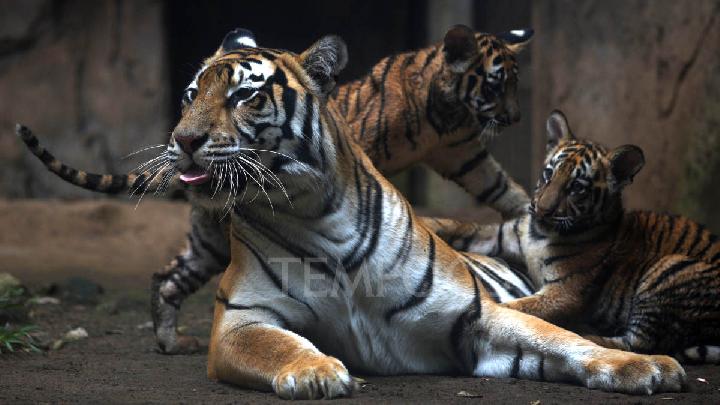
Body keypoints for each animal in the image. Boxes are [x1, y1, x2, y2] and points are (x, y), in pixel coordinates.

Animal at [17, 25, 534, 355]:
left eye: (244, 95)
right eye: (191, 95)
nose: (183, 140)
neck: (447, 113)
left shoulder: (467, 155)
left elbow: (505, 190)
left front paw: (534, 213)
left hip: (205, 243)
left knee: (166, 277)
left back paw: (170, 343)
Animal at [428, 110, 720, 363]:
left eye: (577, 187)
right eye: (548, 174)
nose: (542, 210)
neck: (539, 235)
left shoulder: (564, 292)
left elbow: (519, 308)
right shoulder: (502, 236)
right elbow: (453, 225)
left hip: (669, 268)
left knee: (638, 343)